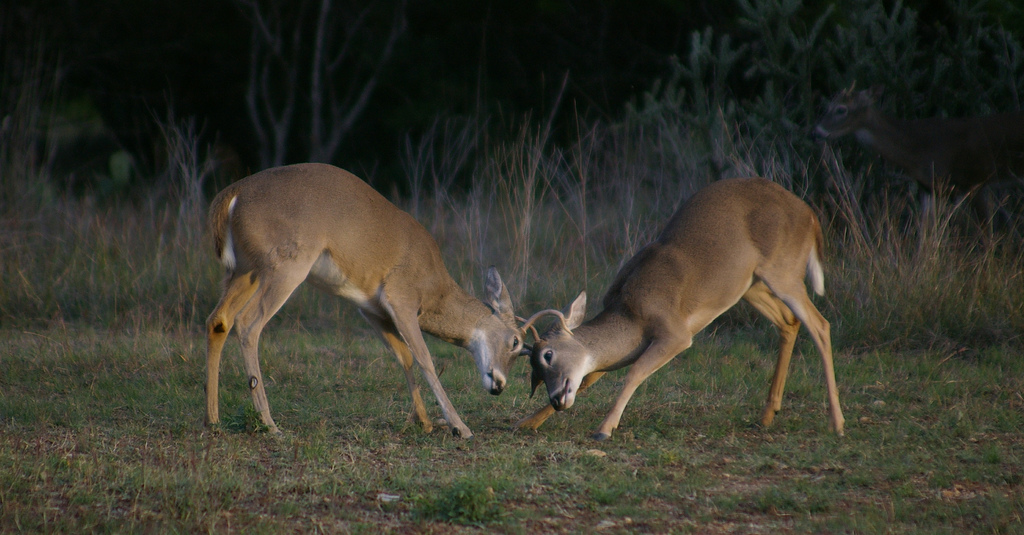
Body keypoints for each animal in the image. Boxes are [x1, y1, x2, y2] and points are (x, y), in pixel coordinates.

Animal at [204, 163, 528, 438]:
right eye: (515, 342)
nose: (499, 385)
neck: (435, 289)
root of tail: (231, 195)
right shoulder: (401, 297)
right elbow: (424, 358)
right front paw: (459, 426)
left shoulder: (370, 309)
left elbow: (403, 356)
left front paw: (423, 421)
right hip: (285, 265)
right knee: (248, 323)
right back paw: (270, 423)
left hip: (244, 270)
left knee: (219, 320)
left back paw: (213, 419)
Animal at [517, 177, 845, 441]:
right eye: (533, 370)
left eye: (548, 355)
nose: (557, 398)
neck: (630, 316)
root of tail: (811, 215)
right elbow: (588, 379)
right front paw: (528, 422)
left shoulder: (675, 333)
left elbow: (635, 372)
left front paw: (604, 429)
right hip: (749, 286)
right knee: (789, 322)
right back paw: (766, 415)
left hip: (783, 271)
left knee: (820, 325)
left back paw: (837, 422)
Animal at [814, 85, 1024, 227]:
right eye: (828, 106)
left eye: (841, 109)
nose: (815, 132)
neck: (917, 146)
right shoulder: (928, 187)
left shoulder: (974, 182)